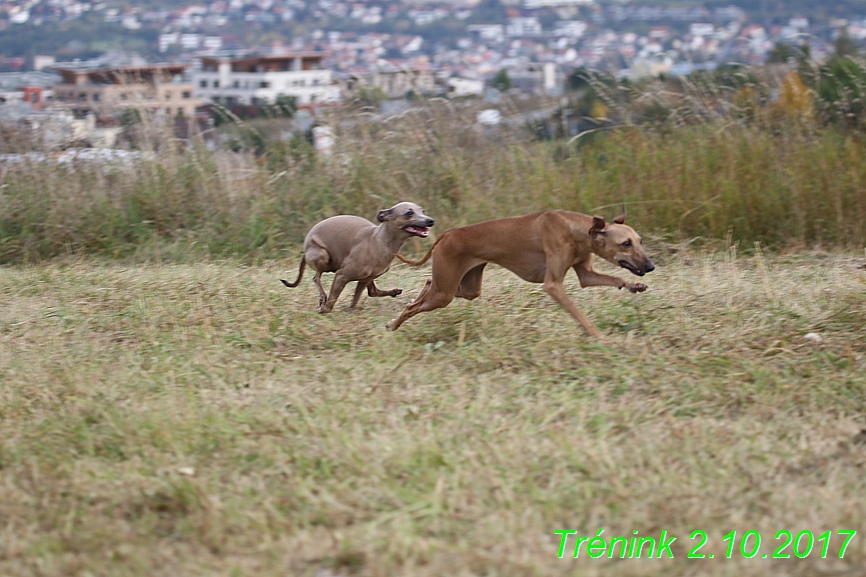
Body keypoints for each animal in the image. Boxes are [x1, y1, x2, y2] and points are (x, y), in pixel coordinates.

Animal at [388, 208, 652, 336]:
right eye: (625, 243)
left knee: (428, 284)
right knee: (414, 306)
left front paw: (634, 286)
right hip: (445, 292)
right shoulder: (553, 285)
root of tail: (446, 234)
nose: (650, 267)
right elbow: (580, 315)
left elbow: (615, 278)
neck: (572, 228)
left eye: (640, 241)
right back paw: (392, 324)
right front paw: (599, 336)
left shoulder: (586, 275)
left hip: (465, 287)